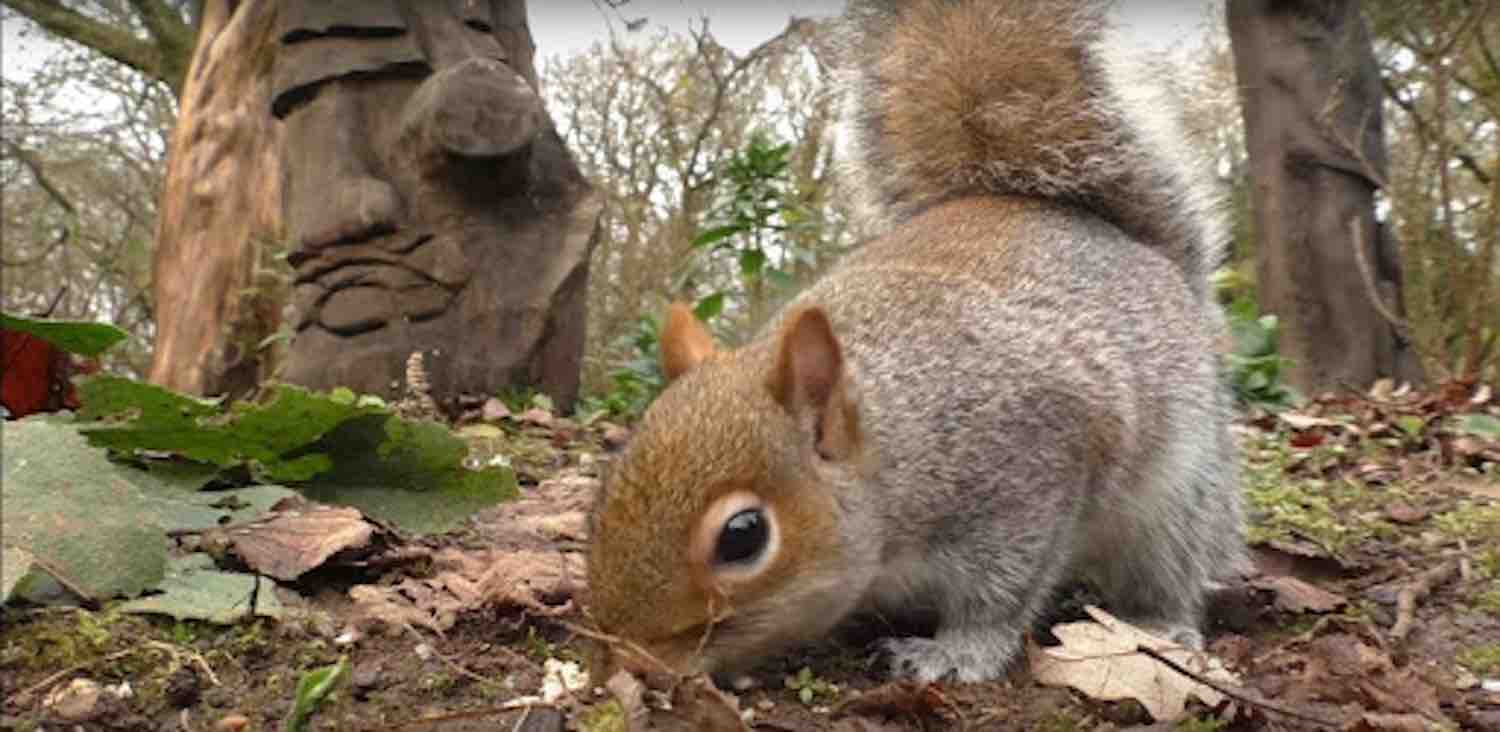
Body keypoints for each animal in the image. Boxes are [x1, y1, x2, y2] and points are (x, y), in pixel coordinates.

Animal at [586, 0, 1246, 683]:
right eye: (602, 496)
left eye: (743, 536)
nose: (625, 661)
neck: (896, 444)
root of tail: (1148, 255)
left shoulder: (1028, 476)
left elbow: (1000, 596)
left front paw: (954, 654)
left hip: (1178, 490)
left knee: (1174, 560)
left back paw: (1161, 623)